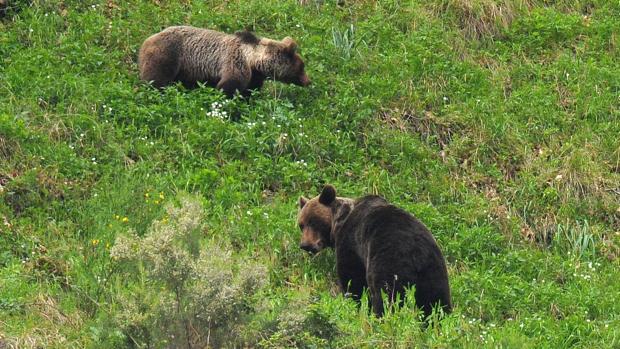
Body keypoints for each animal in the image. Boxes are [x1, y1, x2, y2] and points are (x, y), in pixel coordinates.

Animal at [137, 25, 308, 97]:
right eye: (302, 67)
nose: (308, 81)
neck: (253, 60)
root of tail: (146, 41)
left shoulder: (254, 75)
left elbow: (250, 90)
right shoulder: (235, 62)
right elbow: (229, 85)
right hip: (168, 54)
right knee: (156, 79)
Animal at [296, 185, 450, 318]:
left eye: (313, 221)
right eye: (301, 225)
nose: (305, 245)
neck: (338, 223)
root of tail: (416, 252)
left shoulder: (351, 243)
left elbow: (352, 278)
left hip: (390, 262)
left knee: (386, 295)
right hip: (434, 271)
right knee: (436, 302)